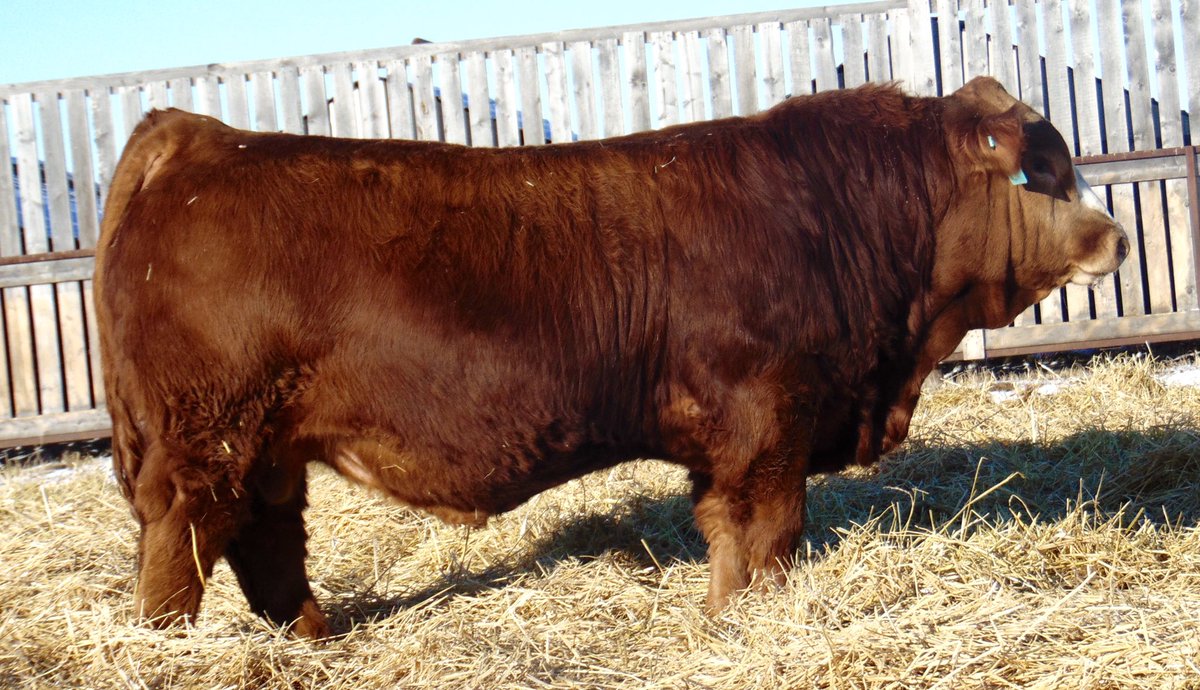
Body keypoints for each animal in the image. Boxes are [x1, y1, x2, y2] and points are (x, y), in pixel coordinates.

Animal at [95, 76, 1127, 639]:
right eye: (1043, 172)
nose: (1116, 236)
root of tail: (200, 137)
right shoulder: (770, 422)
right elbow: (768, 533)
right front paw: (754, 619)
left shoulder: (735, 441)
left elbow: (728, 533)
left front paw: (724, 620)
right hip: (207, 437)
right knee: (183, 546)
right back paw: (177, 650)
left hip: (264, 446)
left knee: (266, 543)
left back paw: (314, 642)